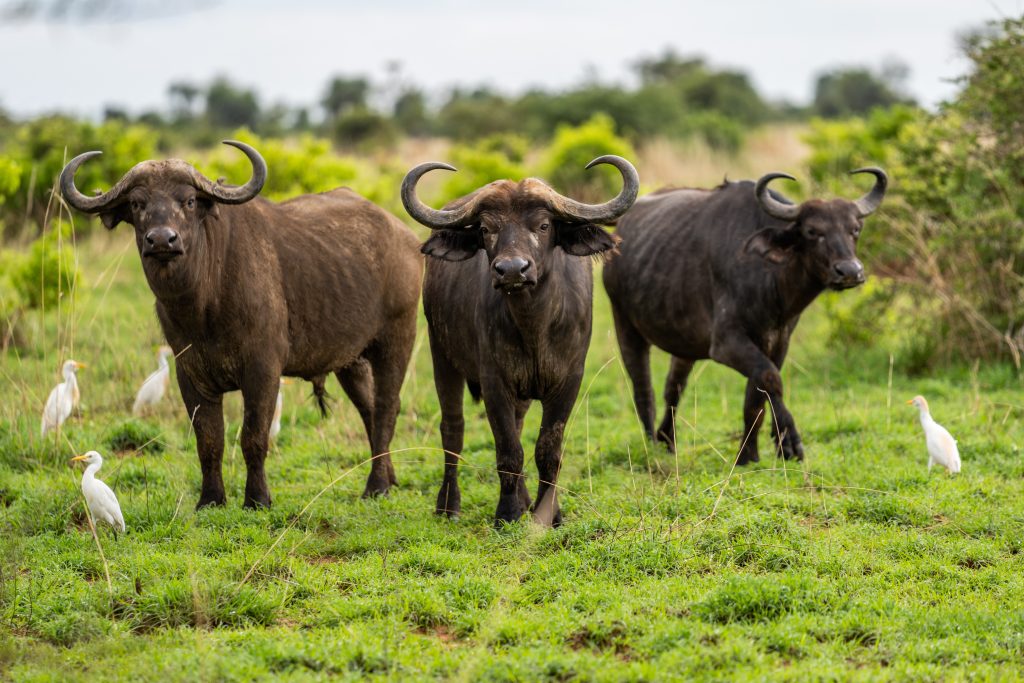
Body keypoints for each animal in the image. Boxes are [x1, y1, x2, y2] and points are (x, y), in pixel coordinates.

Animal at [59, 143, 421, 507]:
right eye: (137, 203)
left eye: (188, 201)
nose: (162, 241)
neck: (205, 305)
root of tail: (404, 237)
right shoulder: (189, 374)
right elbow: (209, 440)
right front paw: (210, 499)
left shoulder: (263, 370)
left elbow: (253, 436)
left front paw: (257, 498)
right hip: (351, 360)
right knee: (369, 409)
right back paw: (388, 475)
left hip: (396, 340)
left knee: (387, 407)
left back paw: (376, 485)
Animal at [401, 157, 634, 528]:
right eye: (485, 229)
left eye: (543, 225)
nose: (512, 270)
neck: (534, 326)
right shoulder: (494, 381)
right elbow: (508, 450)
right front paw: (507, 513)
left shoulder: (569, 381)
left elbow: (547, 450)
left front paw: (547, 514)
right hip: (442, 355)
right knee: (452, 429)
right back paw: (448, 505)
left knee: (520, 423)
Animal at [602, 168, 884, 464]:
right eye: (812, 231)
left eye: (855, 229)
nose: (850, 271)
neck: (769, 275)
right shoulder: (726, 343)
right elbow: (771, 379)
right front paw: (789, 441)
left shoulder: (777, 342)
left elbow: (756, 396)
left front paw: (748, 454)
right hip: (625, 325)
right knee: (643, 389)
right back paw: (651, 444)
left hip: (684, 343)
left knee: (673, 387)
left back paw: (667, 440)